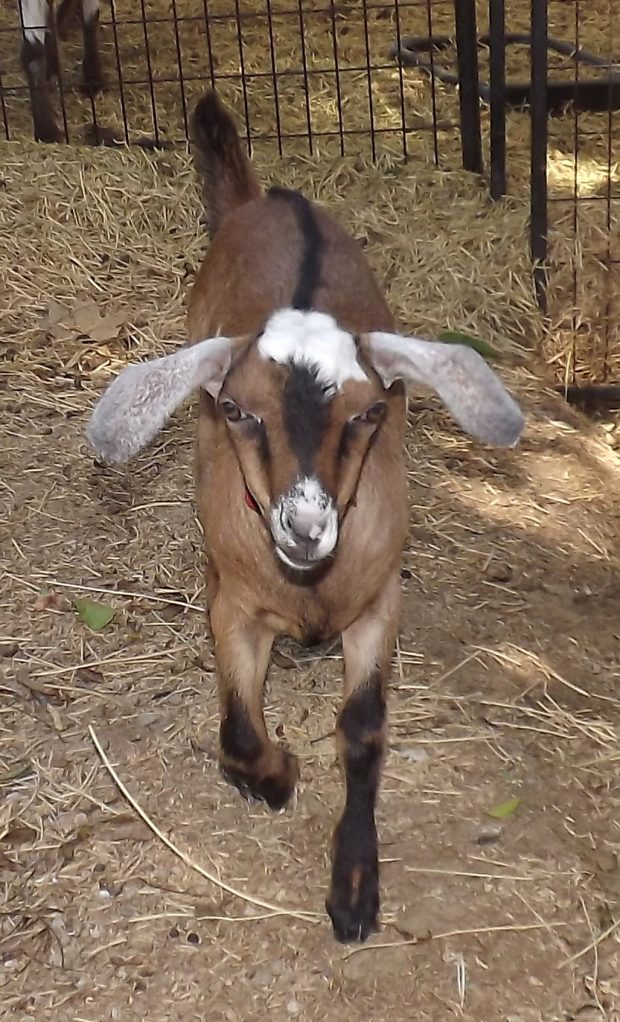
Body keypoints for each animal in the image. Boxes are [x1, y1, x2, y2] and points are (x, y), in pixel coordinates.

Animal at [86, 90, 525, 943]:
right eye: (233, 408)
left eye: (371, 412)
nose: (304, 527)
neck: (311, 591)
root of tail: (270, 199)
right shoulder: (230, 605)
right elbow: (236, 728)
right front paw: (277, 774)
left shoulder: (381, 602)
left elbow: (362, 731)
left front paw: (354, 889)